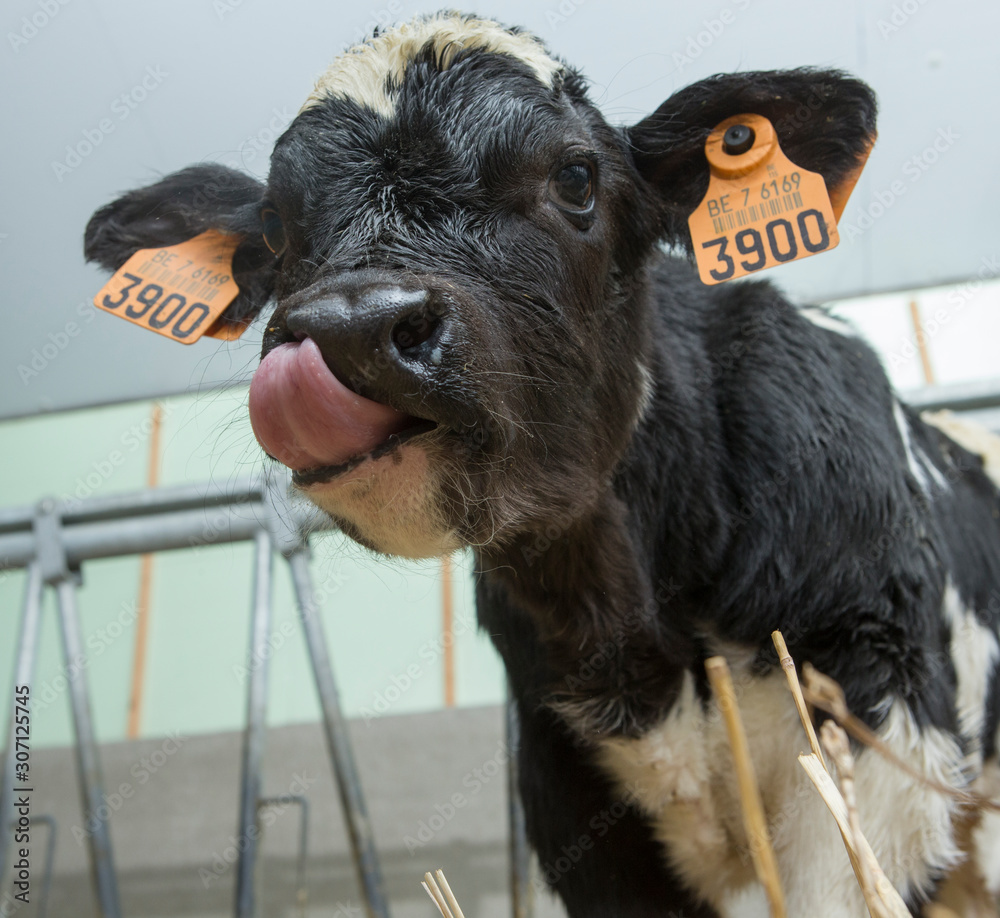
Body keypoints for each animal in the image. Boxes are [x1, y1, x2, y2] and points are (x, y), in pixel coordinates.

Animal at [84, 12, 1000, 916]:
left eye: (576, 177)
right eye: (274, 222)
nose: (352, 327)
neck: (630, 643)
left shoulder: (879, 721)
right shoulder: (572, 801)